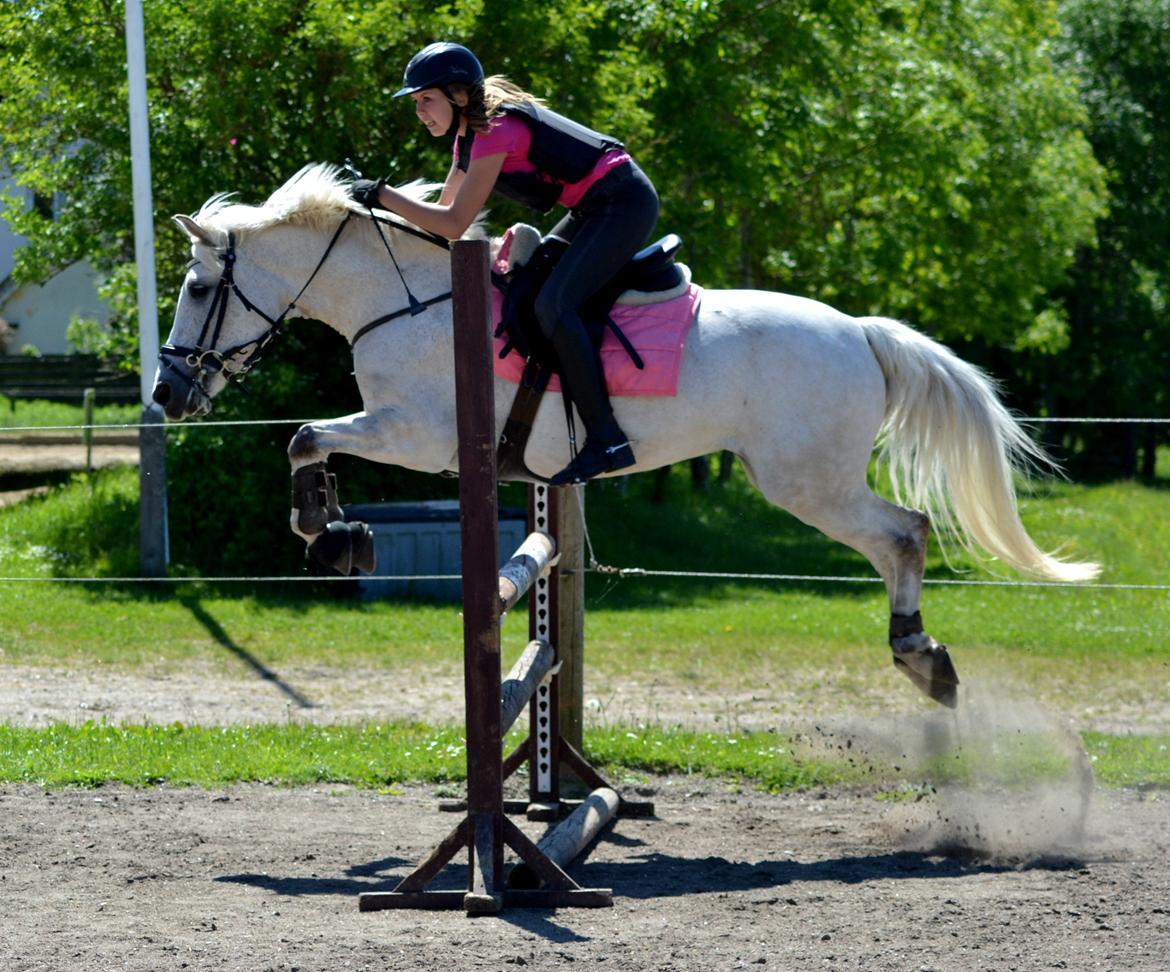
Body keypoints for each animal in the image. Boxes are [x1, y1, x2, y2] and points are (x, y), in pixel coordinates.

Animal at [153, 164, 1095, 706]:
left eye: (197, 288)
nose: (167, 392)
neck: (408, 299)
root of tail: (860, 331)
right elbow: (309, 441)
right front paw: (337, 533)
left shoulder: (417, 436)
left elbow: (305, 437)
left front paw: (330, 533)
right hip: (810, 479)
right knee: (904, 534)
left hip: (804, 481)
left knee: (905, 532)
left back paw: (919, 654)